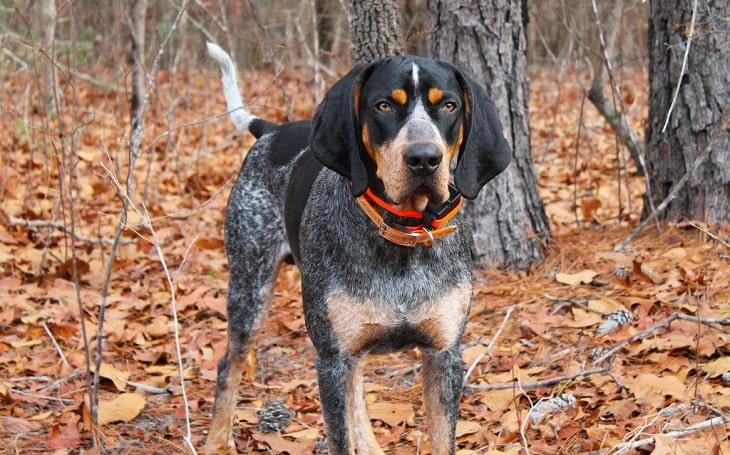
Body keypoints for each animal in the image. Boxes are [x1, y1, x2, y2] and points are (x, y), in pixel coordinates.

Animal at [205, 41, 510, 454]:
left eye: (449, 106)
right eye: (383, 105)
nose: (424, 158)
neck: (403, 237)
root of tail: (273, 130)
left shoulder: (444, 355)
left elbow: (440, 437)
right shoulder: (332, 359)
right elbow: (340, 435)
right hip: (249, 286)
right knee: (229, 366)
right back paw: (215, 441)